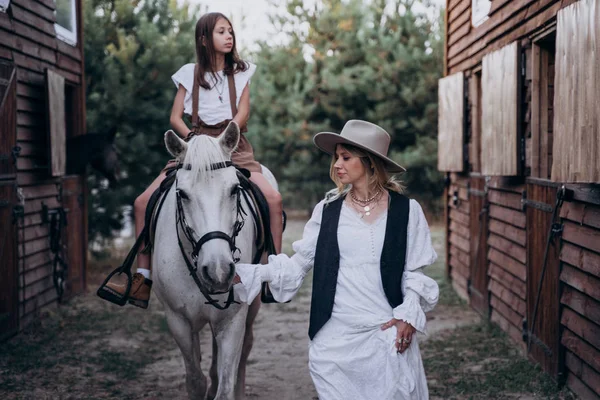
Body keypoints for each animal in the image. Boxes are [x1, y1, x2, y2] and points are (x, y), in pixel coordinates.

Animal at [154, 122, 268, 400]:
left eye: (235, 189)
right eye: (182, 194)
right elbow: (195, 380)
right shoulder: (178, 321)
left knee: (244, 349)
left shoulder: (232, 319)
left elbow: (225, 387)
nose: (218, 272)